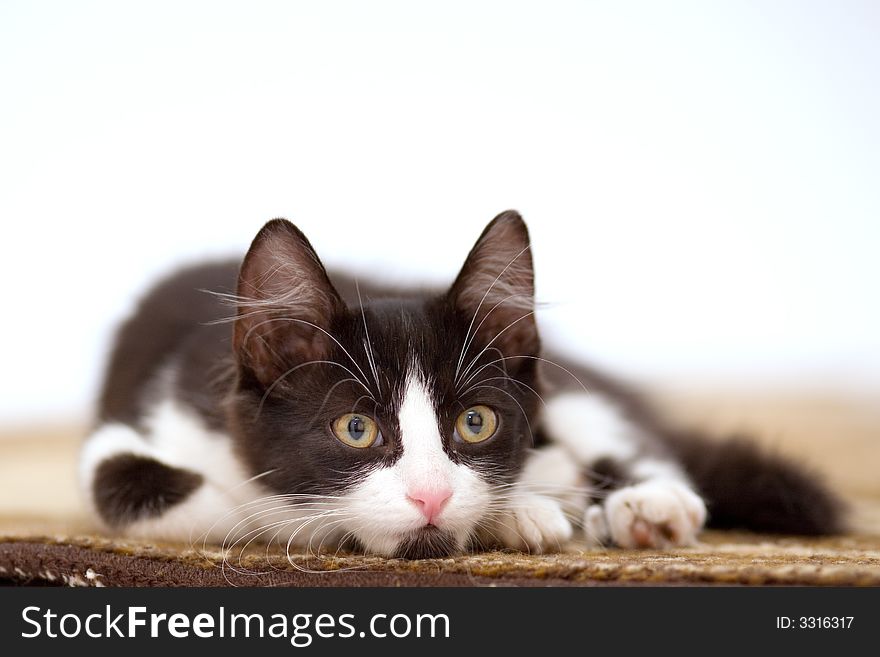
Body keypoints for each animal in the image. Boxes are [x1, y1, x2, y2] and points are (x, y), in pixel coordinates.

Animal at [79, 213, 844, 556]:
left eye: (475, 421)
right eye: (355, 428)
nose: (432, 495)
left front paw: (531, 499)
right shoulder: (137, 430)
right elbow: (210, 504)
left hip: (571, 385)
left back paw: (644, 506)